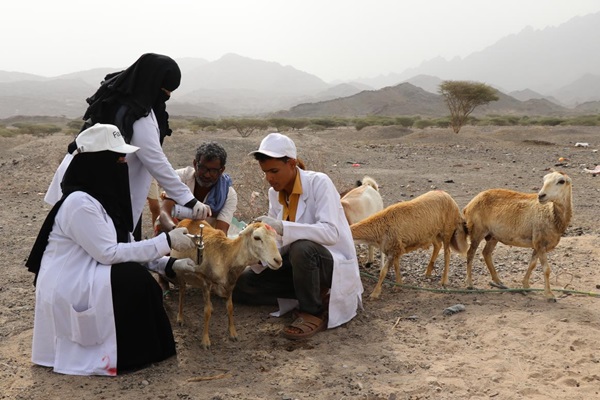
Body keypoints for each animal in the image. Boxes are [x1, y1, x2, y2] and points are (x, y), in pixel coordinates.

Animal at [170, 219, 282, 349]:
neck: (226, 256)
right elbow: (206, 312)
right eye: (257, 237)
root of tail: (186, 220)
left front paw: (233, 333)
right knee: (182, 292)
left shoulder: (230, 284)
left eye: (275, 236)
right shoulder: (206, 282)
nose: (278, 261)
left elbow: (230, 308)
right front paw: (205, 340)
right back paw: (180, 318)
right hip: (179, 272)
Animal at [462, 170, 573, 301]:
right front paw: (549, 295)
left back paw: (498, 281)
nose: (541, 196)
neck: (552, 214)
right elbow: (546, 269)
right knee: (470, 254)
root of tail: (469, 204)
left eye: (561, 181)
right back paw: (469, 284)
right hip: (477, 231)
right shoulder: (540, 243)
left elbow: (532, 265)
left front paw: (526, 285)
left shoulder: (537, 244)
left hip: (493, 235)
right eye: (544, 180)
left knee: (486, 253)